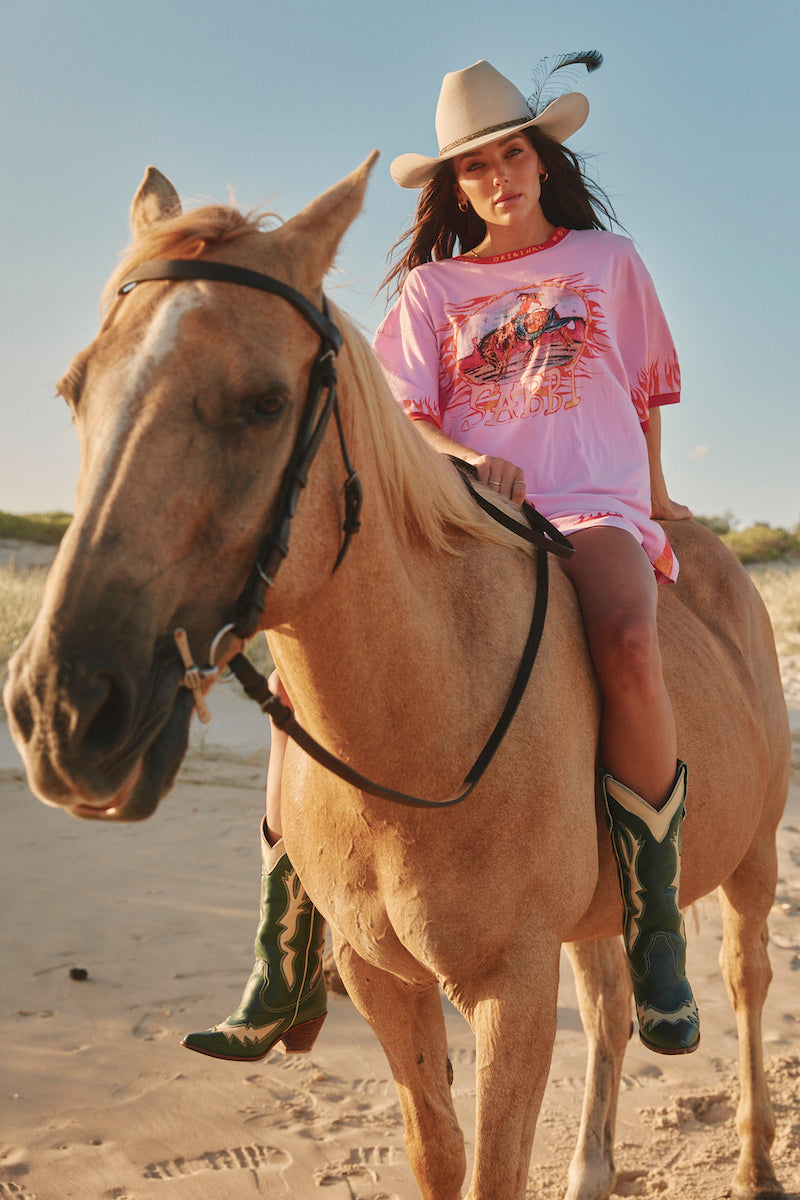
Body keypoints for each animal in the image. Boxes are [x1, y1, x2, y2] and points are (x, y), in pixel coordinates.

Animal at [6, 159, 791, 1200]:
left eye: (265, 402)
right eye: (73, 391)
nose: (63, 710)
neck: (424, 721)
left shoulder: (513, 990)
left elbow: (492, 1167)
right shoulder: (385, 982)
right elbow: (437, 1153)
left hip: (752, 859)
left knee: (743, 984)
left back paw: (753, 1157)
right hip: (595, 916)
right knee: (611, 1009)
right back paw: (592, 1167)